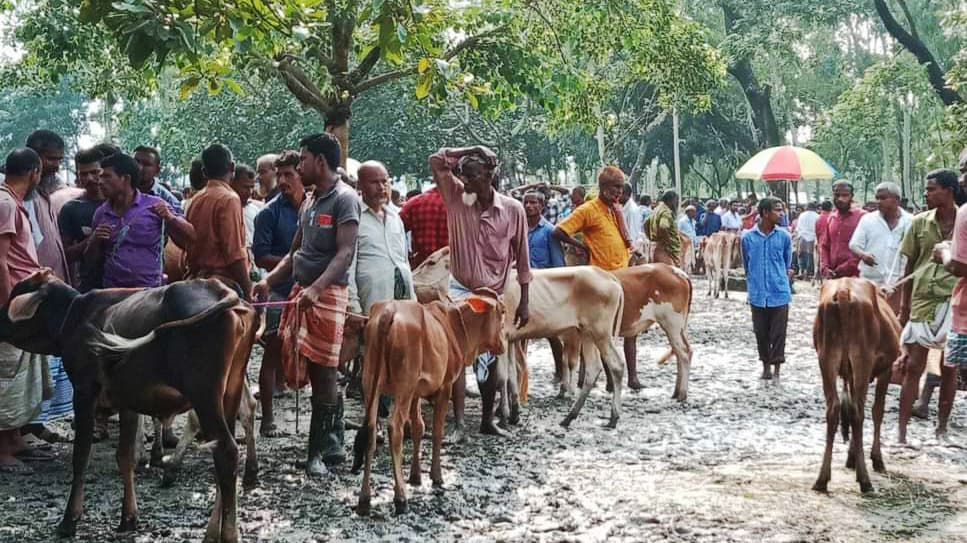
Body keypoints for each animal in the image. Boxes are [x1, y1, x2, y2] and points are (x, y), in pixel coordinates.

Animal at [0, 272, 258, 543]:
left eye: (15, 294)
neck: (74, 314)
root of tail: (218, 288)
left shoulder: (84, 391)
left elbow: (81, 456)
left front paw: (69, 519)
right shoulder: (127, 401)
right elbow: (125, 456)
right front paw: (128, 518)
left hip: (204, 396)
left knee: (226, 452)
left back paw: (227, 533)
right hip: (230, 393)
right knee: (224, 451)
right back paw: (212, 529)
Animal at [354, 286, 506, 516]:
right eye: (502, 312)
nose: (504, 343)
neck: (453, 327)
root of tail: (389, 311)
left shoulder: (416, 392)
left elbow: (418, 427)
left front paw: (416, 476)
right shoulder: (444, 387)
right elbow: (436, 432)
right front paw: (436, 476)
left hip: (371, 383)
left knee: (371, 430)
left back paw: (364, 498)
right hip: (403, 385)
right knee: (394, 428)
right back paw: (400, 498)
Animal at [808, 278, 900, 496]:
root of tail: (843, 290)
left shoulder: (848, 374)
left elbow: (848, 409)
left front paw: (851, 458)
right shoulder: (887, 370)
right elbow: (877, 411)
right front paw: (876, 459)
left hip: (826, 358)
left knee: (834, 409)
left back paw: (822, 479)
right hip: (862, 359)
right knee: (858, 412)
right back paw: (865, 480)